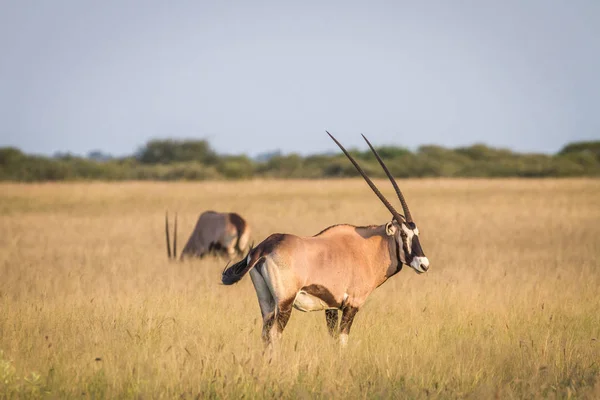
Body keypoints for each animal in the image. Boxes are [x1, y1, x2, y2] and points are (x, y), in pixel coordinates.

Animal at [223, 132, 428, 346]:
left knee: (265, 334)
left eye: (417, 233)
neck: (367, 250)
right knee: (274, 335)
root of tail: (264, 248)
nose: (424, 264)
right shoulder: (352, 304)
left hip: (267, 302)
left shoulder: (331, 307)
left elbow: (332, 338)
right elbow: (342, 340)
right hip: (285, 302)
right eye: (403, 234)